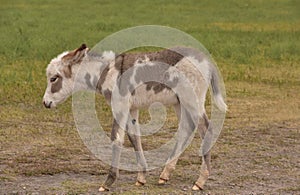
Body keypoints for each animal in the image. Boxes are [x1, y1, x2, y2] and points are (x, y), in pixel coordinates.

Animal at [41, 43, 225, 191]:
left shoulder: (119, 106)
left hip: (193, 100)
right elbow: (134, 137)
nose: (45, 103)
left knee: (206, 130)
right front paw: (141, 178)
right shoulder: (132, 109)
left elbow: (116, 139)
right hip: (179, 102)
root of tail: (206, 59)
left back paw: (200, 181)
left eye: (53, 78)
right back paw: (165, 174)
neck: (107, 73)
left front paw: (108, 182)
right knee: (187, 129)